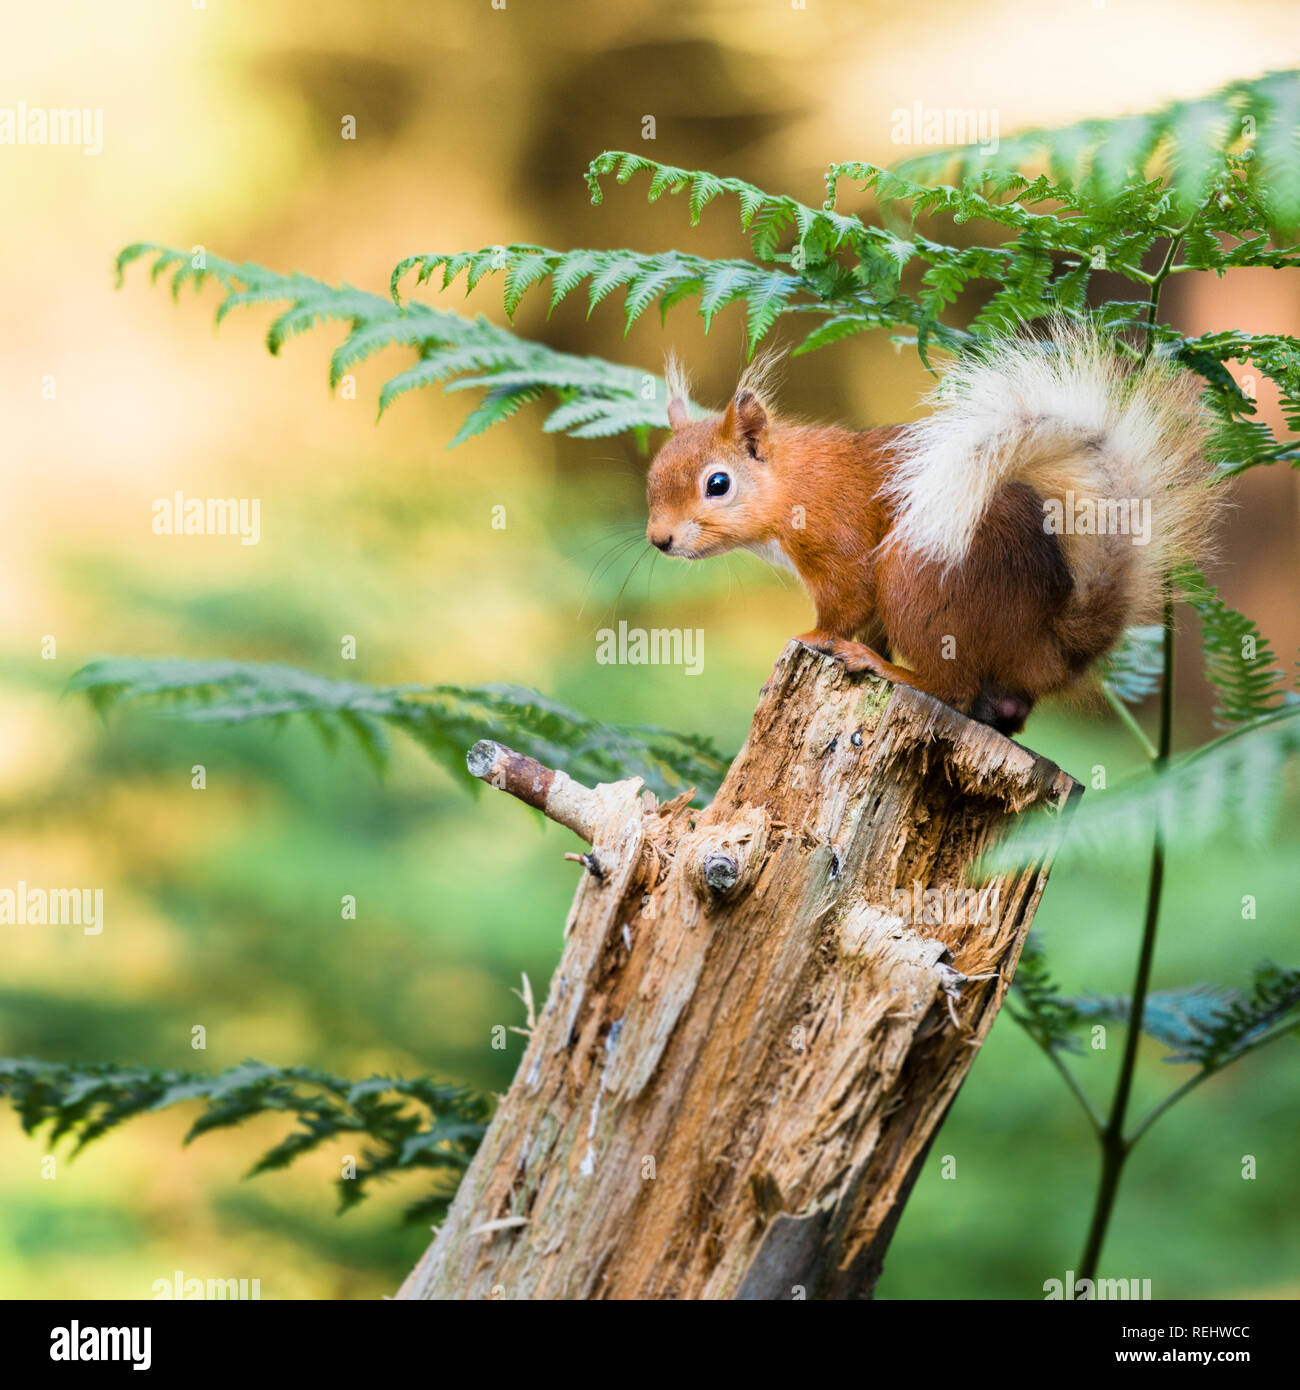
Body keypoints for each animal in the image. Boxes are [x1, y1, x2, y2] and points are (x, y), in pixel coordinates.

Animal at [645, 325, 1223, 739]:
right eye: (653, 477)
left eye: (717, 484)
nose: (659, 540)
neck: (794, 483)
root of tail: (1045, 646)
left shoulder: (840, 542)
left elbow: (844, 606)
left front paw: (812, 639)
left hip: (916, 579)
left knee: (954, 689)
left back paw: (888, 670)